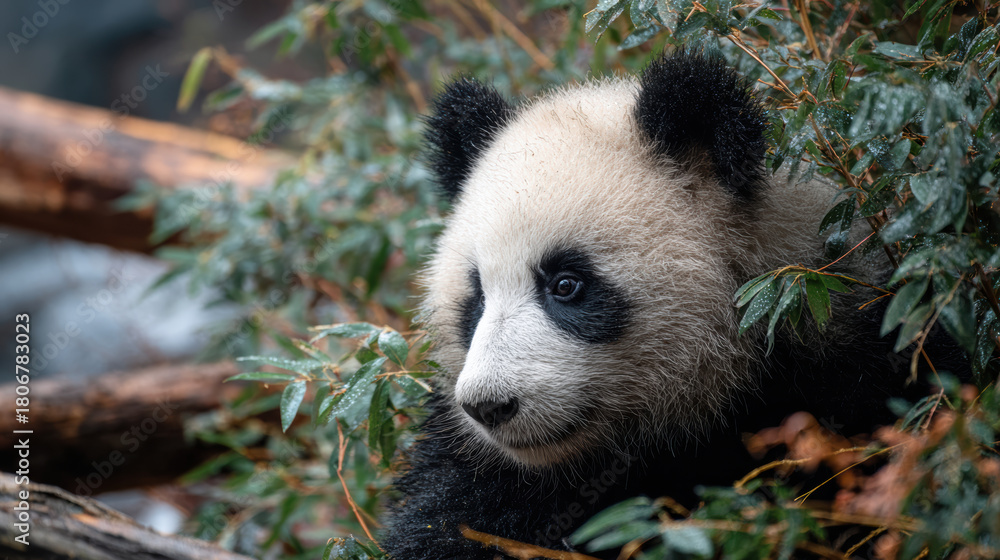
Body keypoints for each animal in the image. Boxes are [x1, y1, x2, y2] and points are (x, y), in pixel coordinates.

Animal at [380, 52, 958, 560]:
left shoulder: (848, 366)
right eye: (476, 298)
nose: (489, 405)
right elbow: (449, 521)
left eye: (566, 285)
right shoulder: (486, 473)